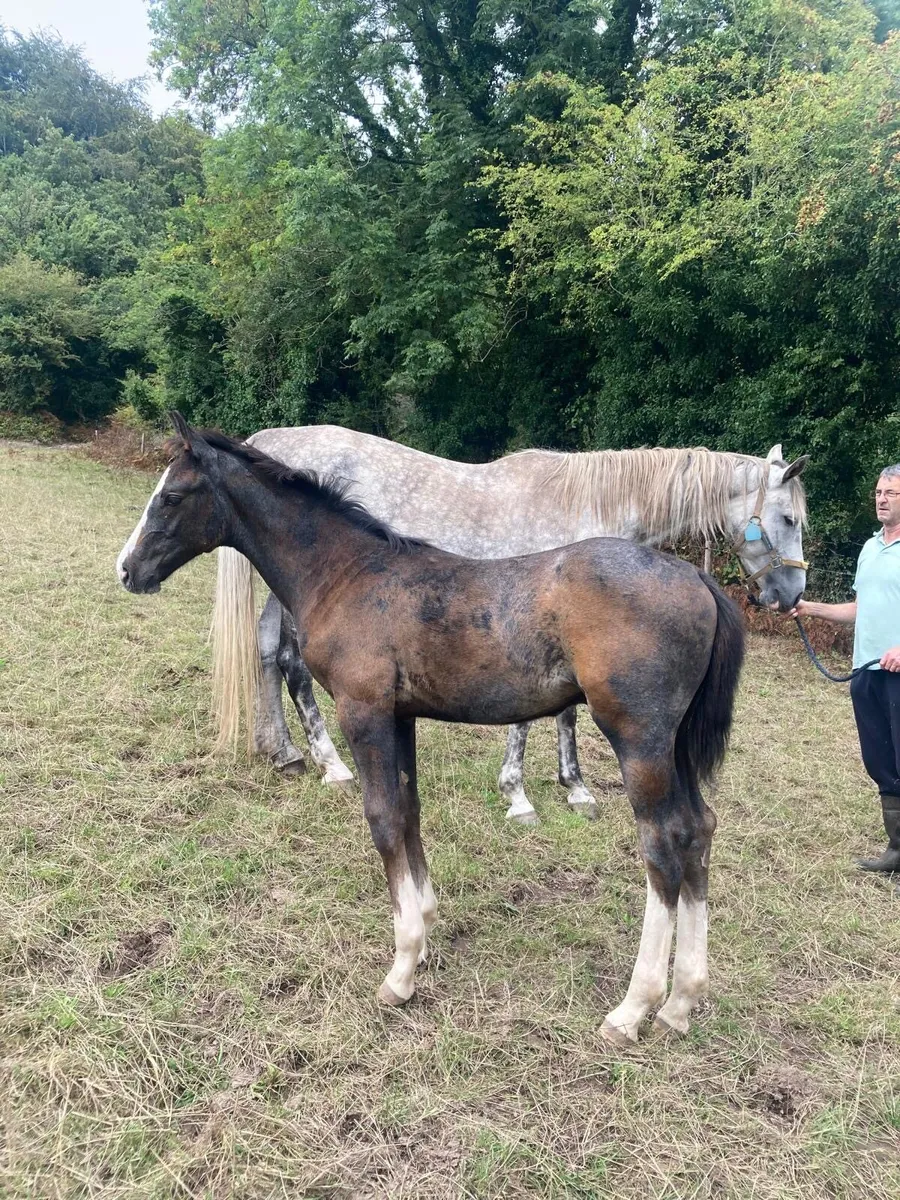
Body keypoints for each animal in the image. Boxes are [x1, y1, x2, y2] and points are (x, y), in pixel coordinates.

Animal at [117, 413, 746, 1044]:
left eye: (171, 496)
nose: (127, 569)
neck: (346, 573)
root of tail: (697, 578)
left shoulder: (363, 711)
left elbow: (383, 818)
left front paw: (400, 971)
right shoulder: (400, 716)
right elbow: (409, 809)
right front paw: (421, 932)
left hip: (639, 739)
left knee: (662, 845)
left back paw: (633, 1009)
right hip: (674, 746)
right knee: (698, 829)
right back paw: (681, 1003)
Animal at [212, 426, 808, 823]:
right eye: (788, 518)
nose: (791, 596)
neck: (584, 506)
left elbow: (564, 713)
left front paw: (575, 788)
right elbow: (534, 718)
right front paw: (519, 796)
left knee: (264, 652)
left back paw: (281, 751)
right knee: (290, 663)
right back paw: (330, 764)